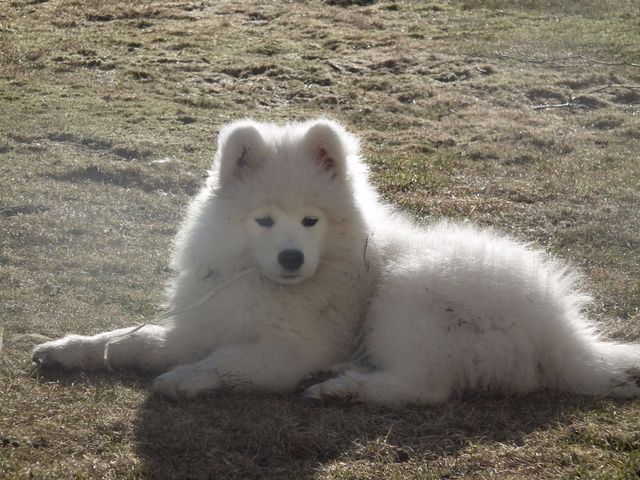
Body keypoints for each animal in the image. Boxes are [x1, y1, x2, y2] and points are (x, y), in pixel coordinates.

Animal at [33, 118, 640, 404]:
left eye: (310, 221)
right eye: (264, 220)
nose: (292, 257)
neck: (265, 283)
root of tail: (563, 336)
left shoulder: (291, 348)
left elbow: (227, 361)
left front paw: (184, 380)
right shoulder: (202, 322)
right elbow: (126, 341)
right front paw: (66, 350)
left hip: (408, 295)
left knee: (422, 386)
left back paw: (339, 387)